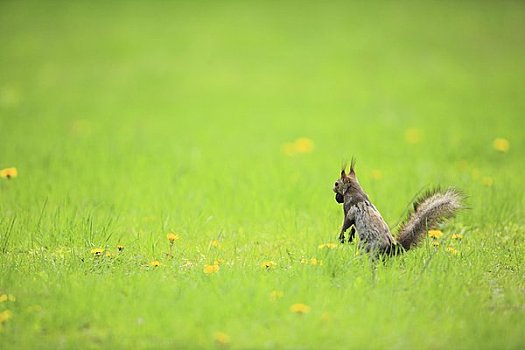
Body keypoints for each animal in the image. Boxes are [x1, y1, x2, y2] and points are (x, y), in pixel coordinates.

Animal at [332, 160, 462, 256]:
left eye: (337, 183)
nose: (333, 189)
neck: (355, 191)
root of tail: (393, 249)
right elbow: (353, 228)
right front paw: (350, 237)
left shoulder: (349, 208)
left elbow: (346, 223)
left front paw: (341, 237)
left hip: (368, 248)